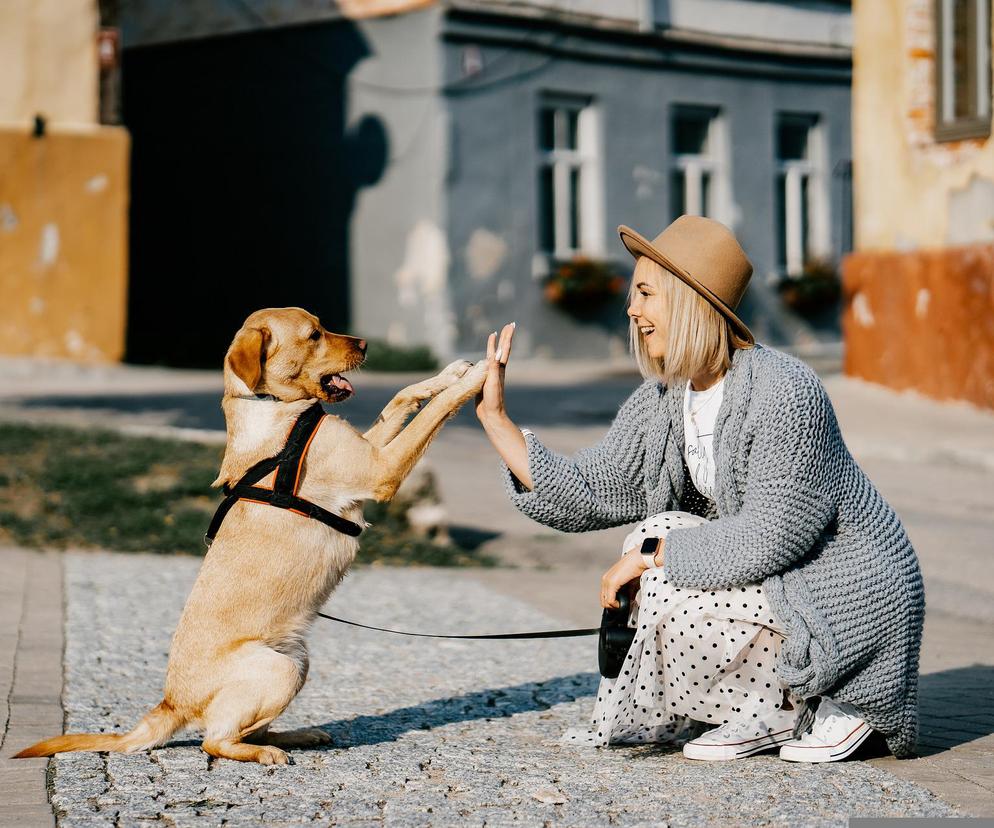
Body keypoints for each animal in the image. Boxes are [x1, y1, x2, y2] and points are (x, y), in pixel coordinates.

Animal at [17, 306, 490, 764]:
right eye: (314, 334)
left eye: (322, 325)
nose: (365, 344)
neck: (273, 408)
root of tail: (171, 703)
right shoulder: (380, 469)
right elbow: (432, 413)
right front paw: (480, 376)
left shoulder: (370, 449)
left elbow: (401, 398)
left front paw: (451, 373)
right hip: (278, 669)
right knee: (214, 741)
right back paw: (265, 752)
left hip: (297, 660)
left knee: (244, 728)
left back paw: (297, 736)